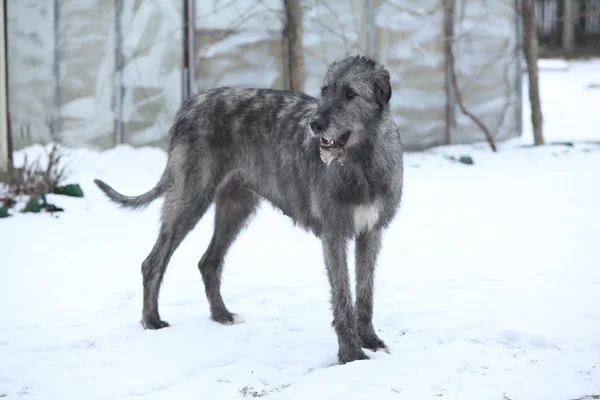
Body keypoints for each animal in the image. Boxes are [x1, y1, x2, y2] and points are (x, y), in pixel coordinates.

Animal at [95, 54, 404, 364]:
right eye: (325, 91)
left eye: (350, 94)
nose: (315, 125)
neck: (361, 161)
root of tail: (192, 103)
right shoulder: (334, 234)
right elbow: (341, 295)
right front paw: (351, 353)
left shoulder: (371, 232)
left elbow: (365, 292)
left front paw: (370, 341)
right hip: (190, 197)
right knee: (153, 261)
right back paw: (152, 321)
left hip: (236, 206)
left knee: (208, 261)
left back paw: (222, 315)